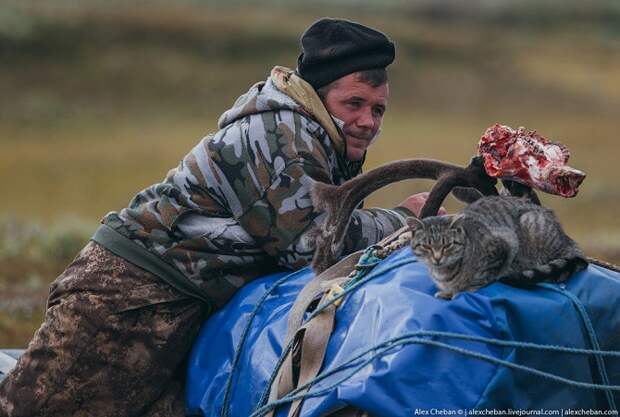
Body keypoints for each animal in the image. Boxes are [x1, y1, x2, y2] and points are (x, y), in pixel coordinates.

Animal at [406, 195, 588, 300]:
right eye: (426, 246)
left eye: (447, 245)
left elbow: (480, 279)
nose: (437, 258)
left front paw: (462, 291)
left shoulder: (505, 244)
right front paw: (447, 292)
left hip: (530, 223)